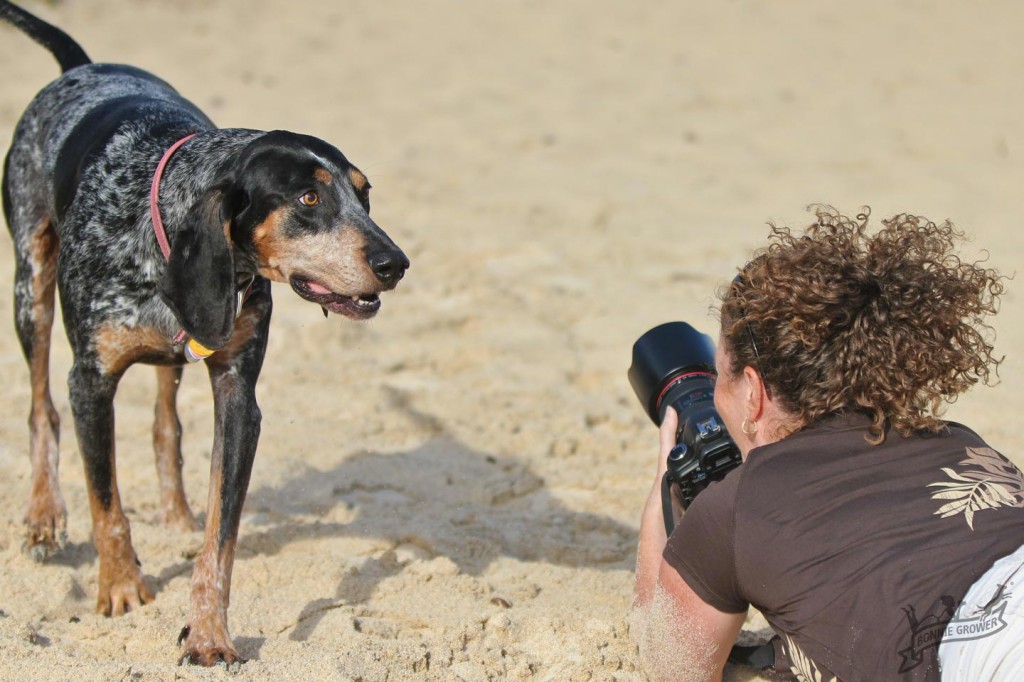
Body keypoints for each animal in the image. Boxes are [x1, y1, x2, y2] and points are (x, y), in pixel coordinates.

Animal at [0, 0, 407, 663]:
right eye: (308, 198)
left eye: (364, 195)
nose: (395, 262)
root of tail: (82, 67)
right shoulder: (90, 383)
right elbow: (106, 503)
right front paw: (120, 588)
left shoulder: (239, 397)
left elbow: (221, 537)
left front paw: (209, 631)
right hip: (29, 285)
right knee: (40, 408)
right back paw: (42, 516)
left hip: (180, 348)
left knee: (166, 424)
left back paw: (176, 513)